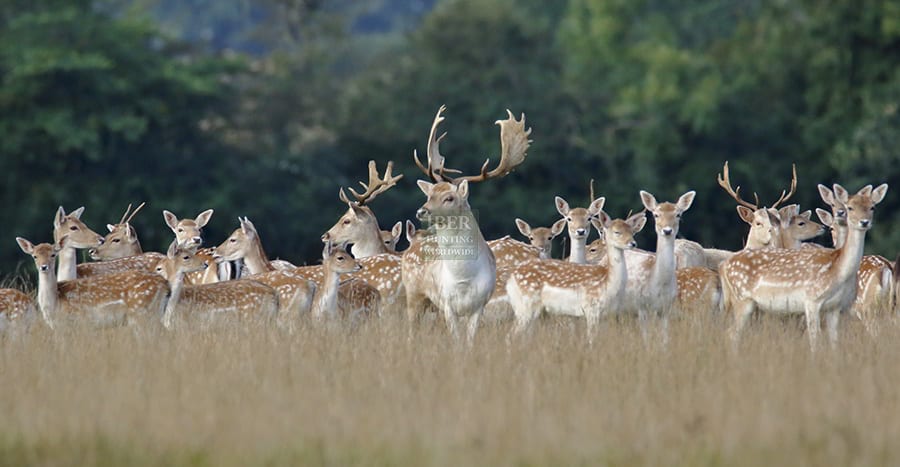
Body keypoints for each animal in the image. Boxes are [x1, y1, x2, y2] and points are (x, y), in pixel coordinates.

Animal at [17, 238, 169, 330]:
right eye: (34, 256)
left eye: (53, 254)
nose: (44, 267)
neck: (54, 303)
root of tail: (164, 285)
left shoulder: (79, 322)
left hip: (141, 312)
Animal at [404, 106, 532, 344]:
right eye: (429, 195)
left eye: (449, 198)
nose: (421, 211)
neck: (463, 278)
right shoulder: (447, 304)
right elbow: (456, 340)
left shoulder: (479, 306)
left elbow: (469, 341)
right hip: (413, 294)